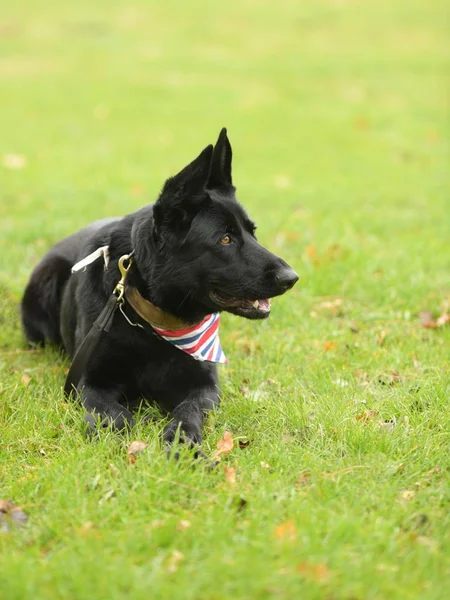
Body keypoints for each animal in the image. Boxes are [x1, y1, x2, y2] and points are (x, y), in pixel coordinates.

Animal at [21, 130, 298, 450]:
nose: (292, 278)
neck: (152, 321)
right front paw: (113, 434)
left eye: (253, 233)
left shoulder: (204, 387)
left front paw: (182, 438)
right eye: (225, 239)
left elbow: (187, 410)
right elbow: (114, 414)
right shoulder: (89, 382)